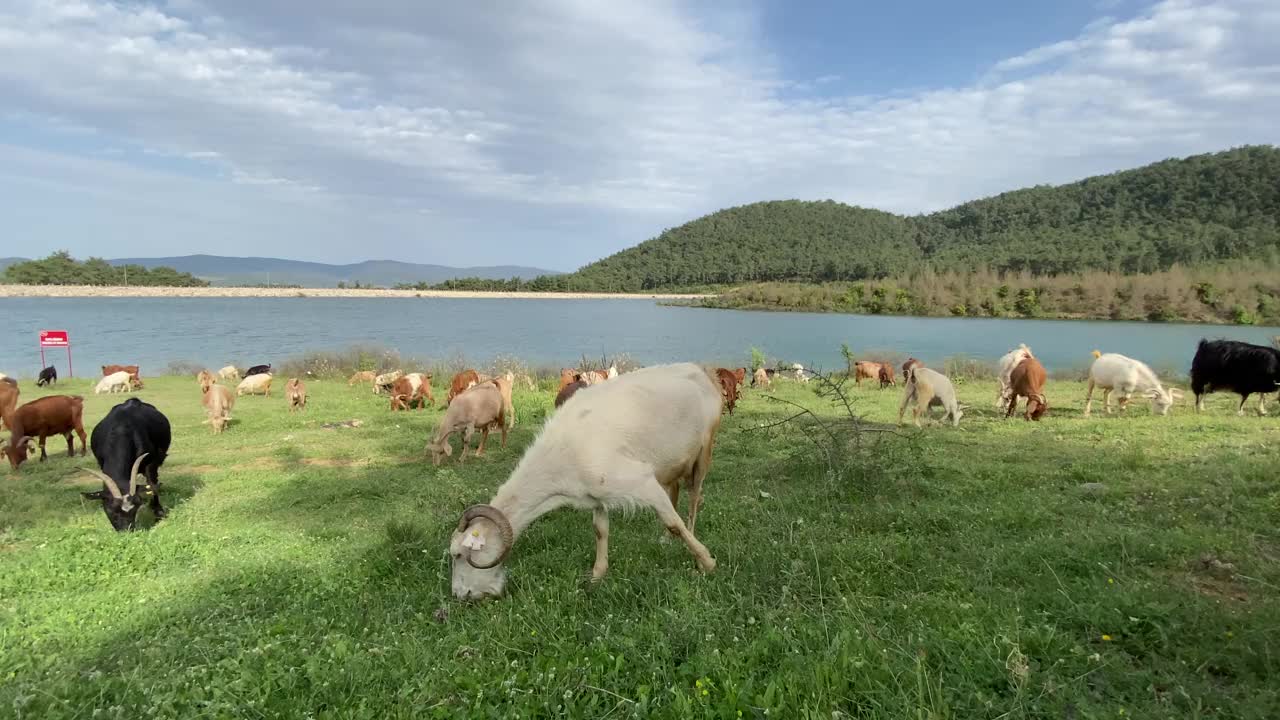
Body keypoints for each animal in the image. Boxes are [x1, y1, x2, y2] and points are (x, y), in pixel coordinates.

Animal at [79, 397, 171, 527]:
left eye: (136, 507)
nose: (126, 529)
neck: (121, 429)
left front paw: (158, 512)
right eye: (110, 510)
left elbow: (152, 484)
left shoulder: (150, 462)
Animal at [450, 361, 727, 597]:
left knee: (694, 497)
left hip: (704, 450)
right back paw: (666, 540)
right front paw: (596, 576)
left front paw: (707, 562)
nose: (460, 595)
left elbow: (673, 522)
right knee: (676, 488)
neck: (561, 453)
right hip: (674, 462)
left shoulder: (642, 482)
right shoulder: (597, 495)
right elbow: (600, 530)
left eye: (459, 555)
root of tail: (703, 371)